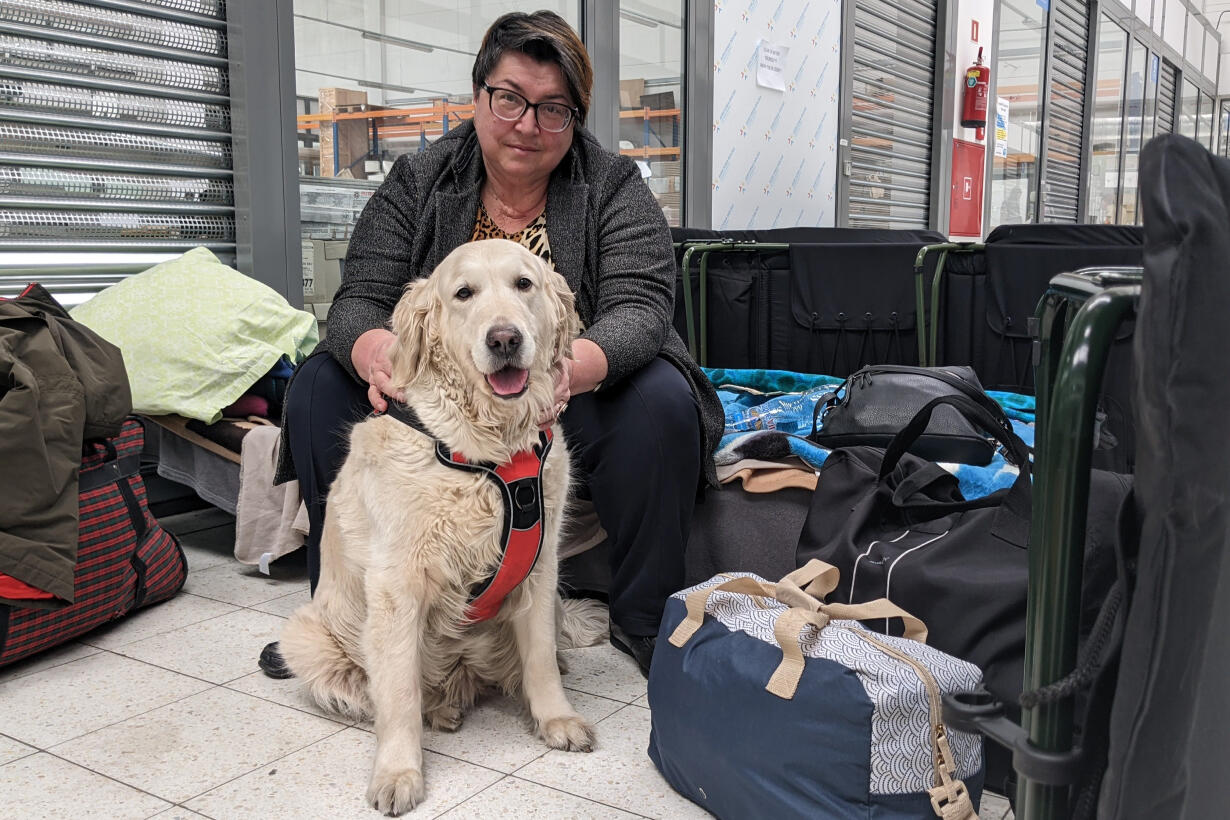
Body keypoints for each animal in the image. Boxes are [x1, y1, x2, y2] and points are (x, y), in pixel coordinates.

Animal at [280, 237, 605, 816]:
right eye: (463, 294)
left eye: (524, 284)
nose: (505, 339)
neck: (488, 449)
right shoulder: (396, 585)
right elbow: (398, 693)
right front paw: (398, 772)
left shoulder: (540, 568)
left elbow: (540, 657)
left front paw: (556, 719)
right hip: (303, 638)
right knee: (386, 689)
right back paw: (438, 710)